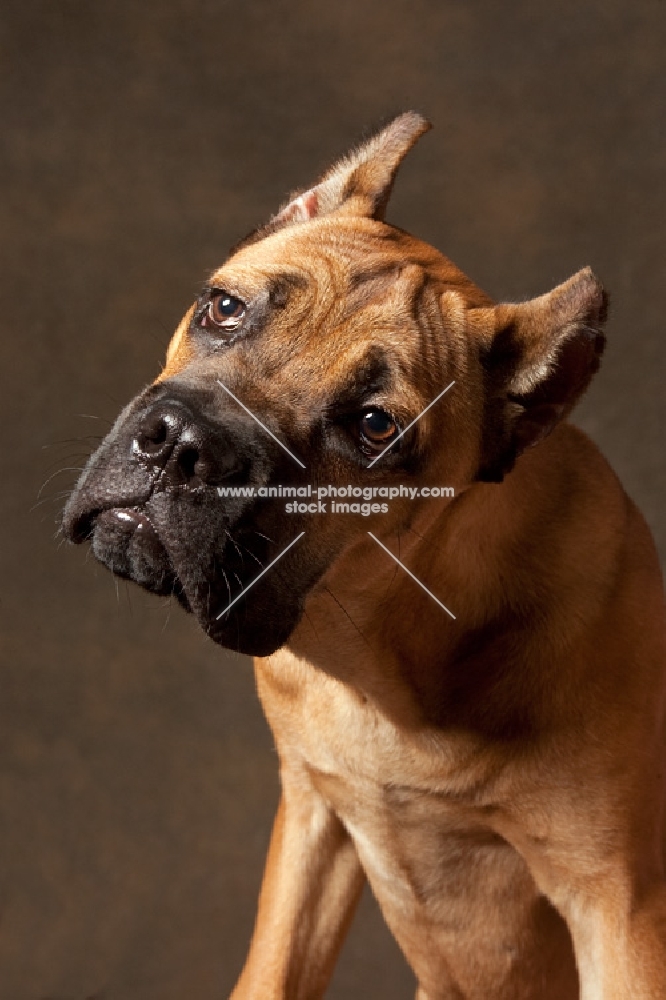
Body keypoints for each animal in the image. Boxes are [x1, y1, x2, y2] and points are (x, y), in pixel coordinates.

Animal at [63, 113, 664, 996]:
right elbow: (273, 971)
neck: (388, 661)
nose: (182, 444)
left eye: (375, 427)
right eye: (223, 308)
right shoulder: (311, 822)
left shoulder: (617, 908)